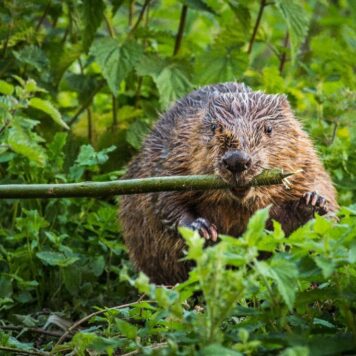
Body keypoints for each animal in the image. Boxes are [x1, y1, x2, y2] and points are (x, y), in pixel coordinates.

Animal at [119, 82, 336, 284]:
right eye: (214, 127)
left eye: (269, 128)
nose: (236, 160)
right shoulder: (173, 153)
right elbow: (163, 199)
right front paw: (202, 228)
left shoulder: (305, 156)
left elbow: (316, 187)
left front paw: (313, 201)